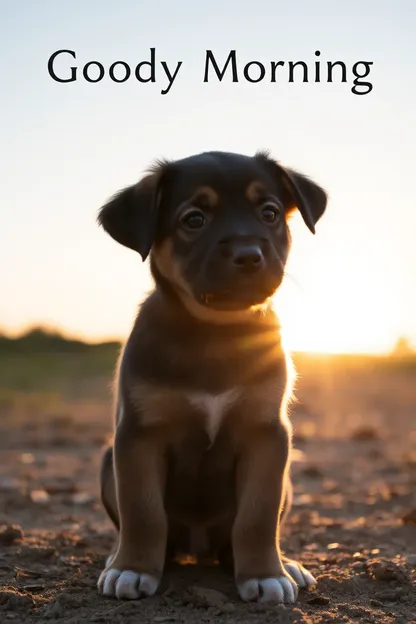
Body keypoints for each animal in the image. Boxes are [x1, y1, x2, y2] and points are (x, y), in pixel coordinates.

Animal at [96, 149, 326, 604]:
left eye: (270, 213)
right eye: (194, 219)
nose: (249, 255)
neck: (216, 333)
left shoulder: (267, 435)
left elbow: (257, 516)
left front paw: (264, 574)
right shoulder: (138, 436)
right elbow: (143, 512)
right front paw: (133, 568)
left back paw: (284, 563)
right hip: (109, 462)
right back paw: (120, 558)